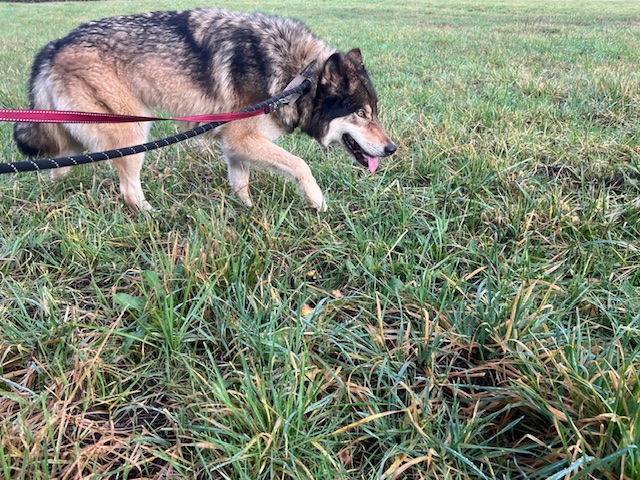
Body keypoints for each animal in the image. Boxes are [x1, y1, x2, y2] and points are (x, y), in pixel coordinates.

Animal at [13, 8, 396, 211]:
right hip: (133, 132)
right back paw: (152, 216)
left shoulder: (235, 146)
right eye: (362, 114)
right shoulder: (242, 138)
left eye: (374, 111)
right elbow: (301, 165)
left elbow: (241, 183)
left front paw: (247, 211)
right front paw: (318, 203)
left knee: (61, 161)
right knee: (128, 190)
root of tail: (53, 45)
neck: (298, 76)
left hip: (88, 132)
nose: (391, 149)